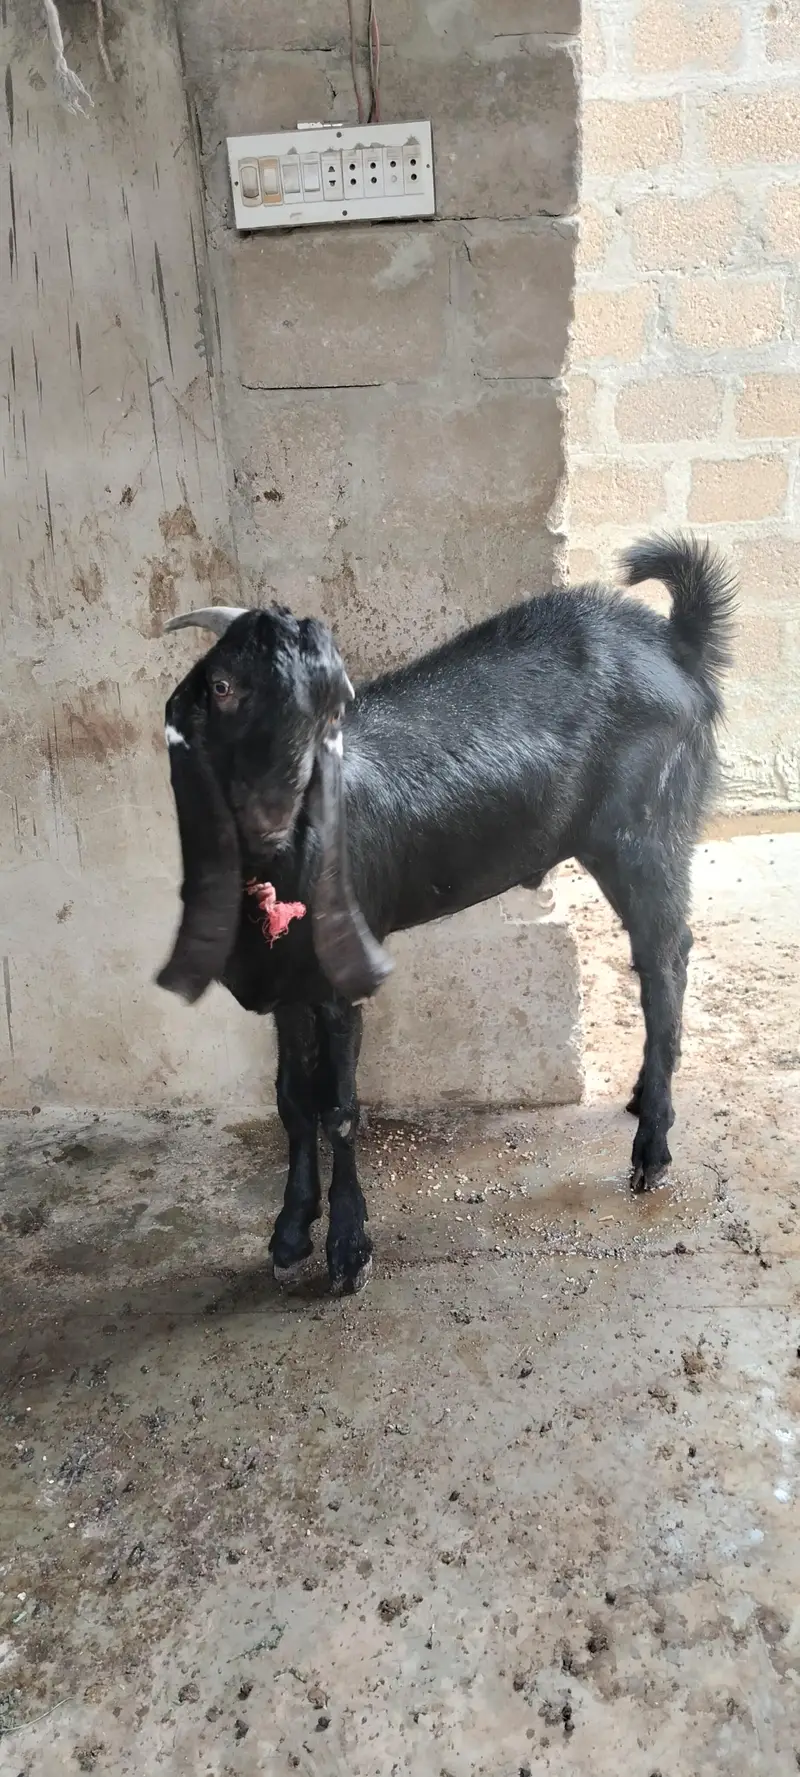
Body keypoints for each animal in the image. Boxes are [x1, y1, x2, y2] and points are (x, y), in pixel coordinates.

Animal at [156, 534, 735, 1294]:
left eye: (327, 702)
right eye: (221, 687)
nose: (279, 820)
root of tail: (677, 643)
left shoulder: (338, 981)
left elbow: (339, 1110)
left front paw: (348, 1250)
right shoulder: (290, 987)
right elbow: (292, 1102)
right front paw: (288, 1236)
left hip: (646, 833)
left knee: (665, 959)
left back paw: (653, 1148)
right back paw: (643, 1101)